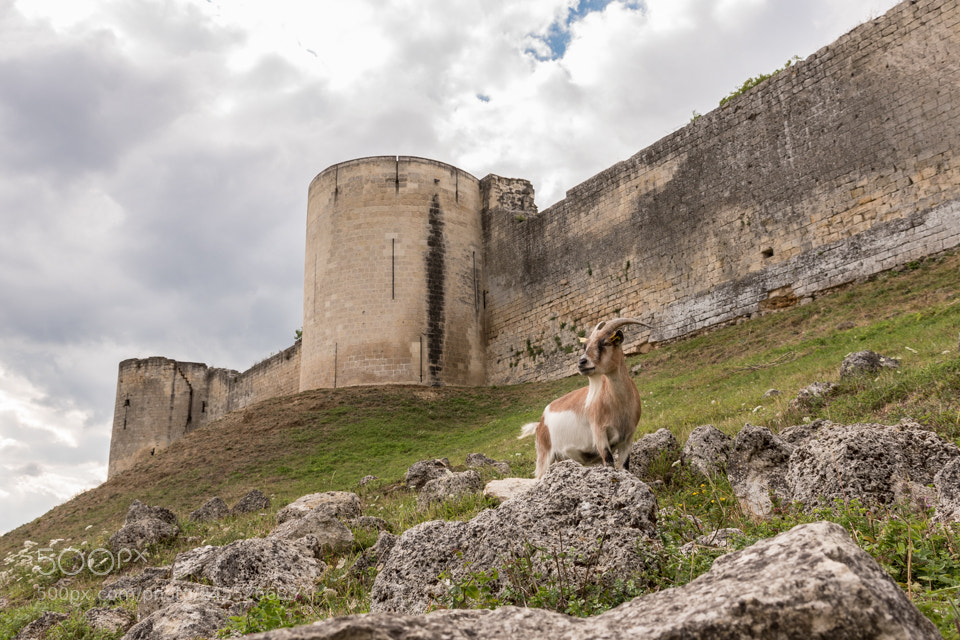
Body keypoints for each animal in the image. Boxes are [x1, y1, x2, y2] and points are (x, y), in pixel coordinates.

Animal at [519, 317, 648, 479]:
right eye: (585, 346)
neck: (619, 405)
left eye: (606, 343)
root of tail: (540, 423)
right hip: (545, 455)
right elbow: (609, 462)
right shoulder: (599, 434)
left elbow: (625, 467)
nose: (582, 363)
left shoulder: (628, 437)